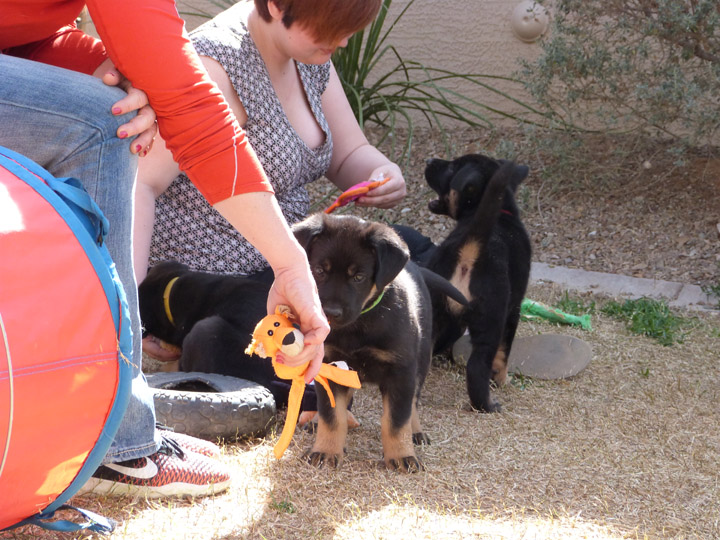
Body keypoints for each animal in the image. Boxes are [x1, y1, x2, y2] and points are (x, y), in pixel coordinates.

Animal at [292, 213, 434, 470]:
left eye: (358, 277)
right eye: (319, 270)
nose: (331, 313)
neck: (358, 325)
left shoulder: (401, 370)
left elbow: (397, 419)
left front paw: (402, 456)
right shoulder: (330, 365)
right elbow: (332, 415)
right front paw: (326, 450)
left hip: (421, 361)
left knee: (413, 402)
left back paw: (416, 432)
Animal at [396, 155, 532, 414]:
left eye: (451, 167)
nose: (430, 159)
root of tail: (473, 243)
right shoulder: (513, 310)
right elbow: (504, 352)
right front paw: (502, 380)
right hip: (490, 321)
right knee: (478, 366)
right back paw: (487, 405)